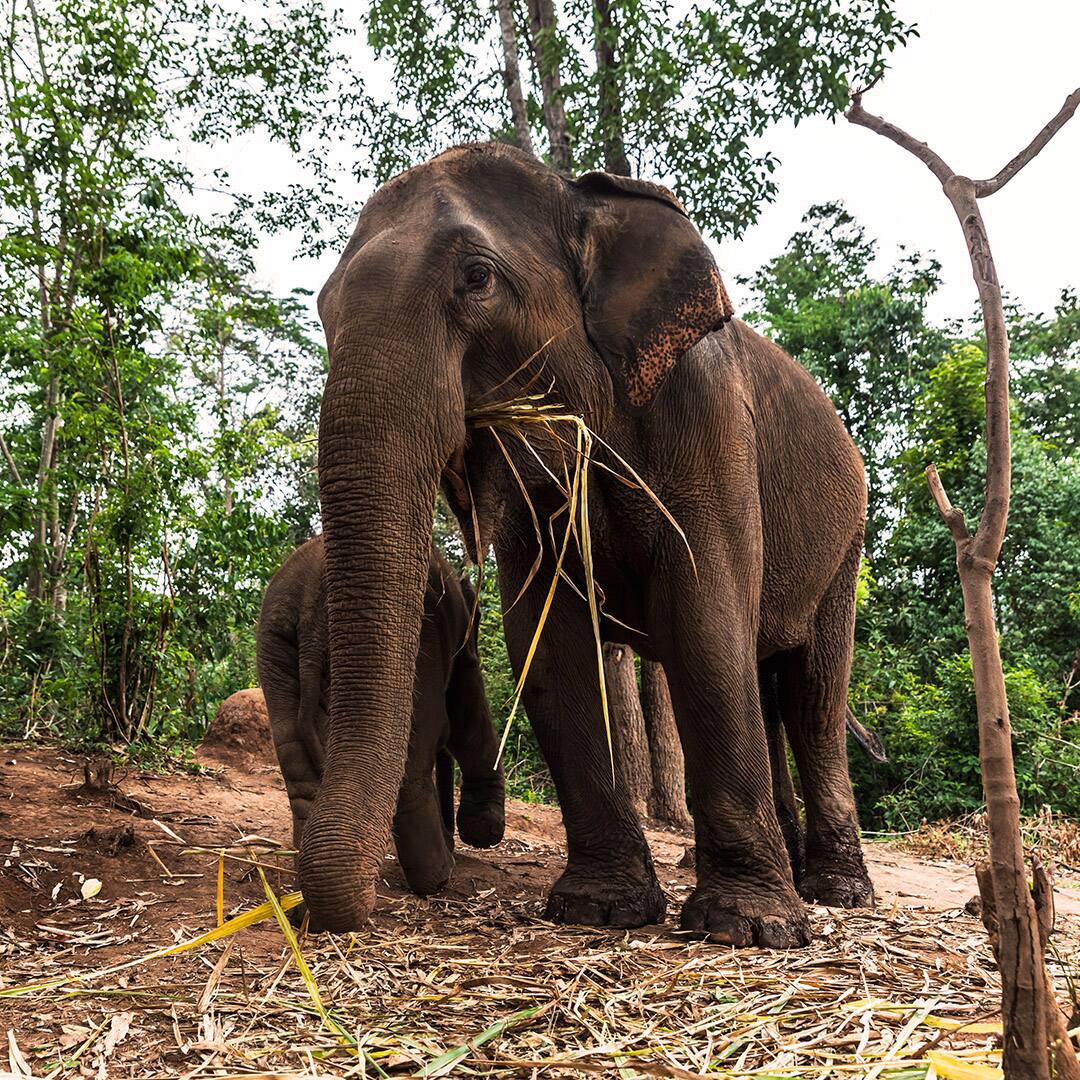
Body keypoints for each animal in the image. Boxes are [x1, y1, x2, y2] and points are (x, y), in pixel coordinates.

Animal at [256, 535, 505, 900]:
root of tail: (311, 603)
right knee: (415, 757)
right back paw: (438, 878)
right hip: (415, 644)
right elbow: (465, 716)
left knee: (297, 761)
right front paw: (484, 831)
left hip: (276, 649)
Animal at [304, 141, 872, 948]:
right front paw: (598, 910)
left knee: (813, 693)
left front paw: (748, 928)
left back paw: (836, 892)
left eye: (476, 279)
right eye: (324, 308)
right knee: (767, 685)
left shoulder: (705, 416)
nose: (327, 920)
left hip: (846, 540)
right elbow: (550, 642)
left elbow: (704, 618)